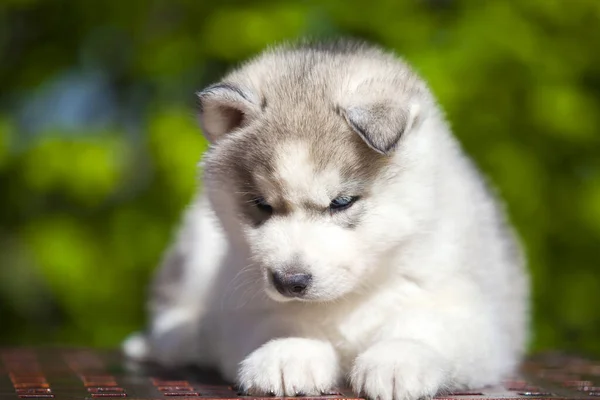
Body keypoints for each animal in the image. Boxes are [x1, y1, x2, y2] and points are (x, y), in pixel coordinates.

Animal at [123, 39, 528, 400]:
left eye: (341, 202)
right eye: (262, 204)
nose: (289, 281)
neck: (353, 295)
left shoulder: (471, 313)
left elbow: (425, 325)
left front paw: (398, 359)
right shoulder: (243, 309)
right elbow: (280, 322)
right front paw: (290, 352)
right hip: (197, 245)